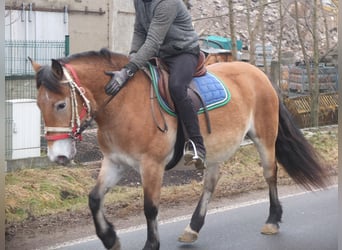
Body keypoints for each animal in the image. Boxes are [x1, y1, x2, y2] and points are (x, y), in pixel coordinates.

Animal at [30, 48, 328, 250]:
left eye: (60, 105)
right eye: (38, 105)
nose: (58, 156)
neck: (123, 103)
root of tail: (260, 74)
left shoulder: (151, 166)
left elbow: (150, 207)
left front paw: (150, 244)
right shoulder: (115, 162)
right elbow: (94, 199)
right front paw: (110, 237)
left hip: (265, 138)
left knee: (270, 173)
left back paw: (272, 220)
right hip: (215, 150)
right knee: (210, 183)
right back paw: (192, 228)